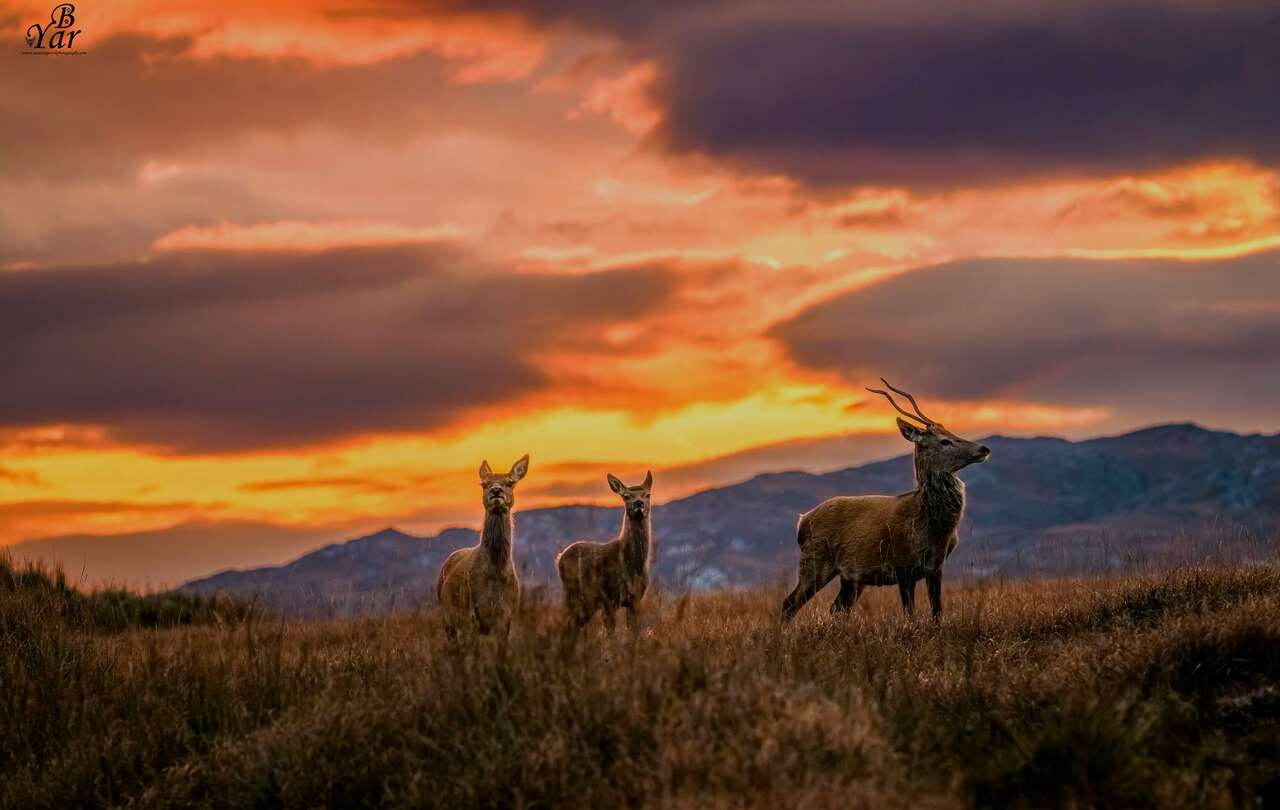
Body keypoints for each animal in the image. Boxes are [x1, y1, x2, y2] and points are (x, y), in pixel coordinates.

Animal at [435, 455, 524, 637]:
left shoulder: (507, 615)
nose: (496, 490)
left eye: (510, 482)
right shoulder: (473, 612)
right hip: (447, 613)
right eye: (484, 484)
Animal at [558, 470, 655, 642]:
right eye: (626, 496)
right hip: (573, 593)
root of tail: (559, 558)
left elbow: (633, 633)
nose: (638, 503)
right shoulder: (608, 599)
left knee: (572, 626)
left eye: (647, 494)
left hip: (587, 603)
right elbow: (611, 635)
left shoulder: (636, 599)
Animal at [778, 381, 988, 621]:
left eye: (951, 432)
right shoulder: (903, 565)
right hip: (815, 561)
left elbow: (937, 612)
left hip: (851, 577)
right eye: (945, 441)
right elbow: (910, 613)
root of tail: (802, 522)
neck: (933, 529)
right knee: (789, 603)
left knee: (836, 608)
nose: (983, 449)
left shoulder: (936, 567)